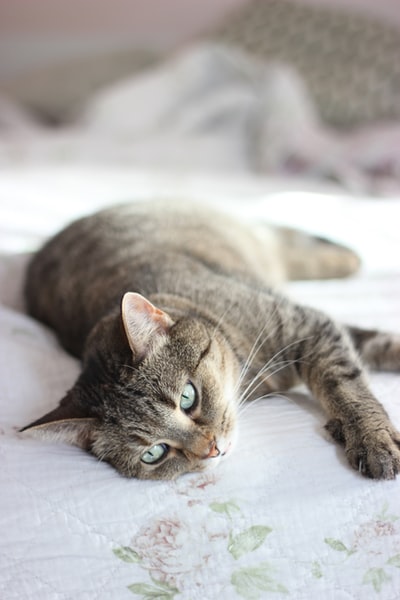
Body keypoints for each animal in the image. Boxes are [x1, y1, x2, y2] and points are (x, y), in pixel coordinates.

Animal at [21, 204, 400, 480]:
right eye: (154, 453)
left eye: (188, 398)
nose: (212, 449)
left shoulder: (307, 325)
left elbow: (346, 386)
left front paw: (372, 439)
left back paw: (347, 257)